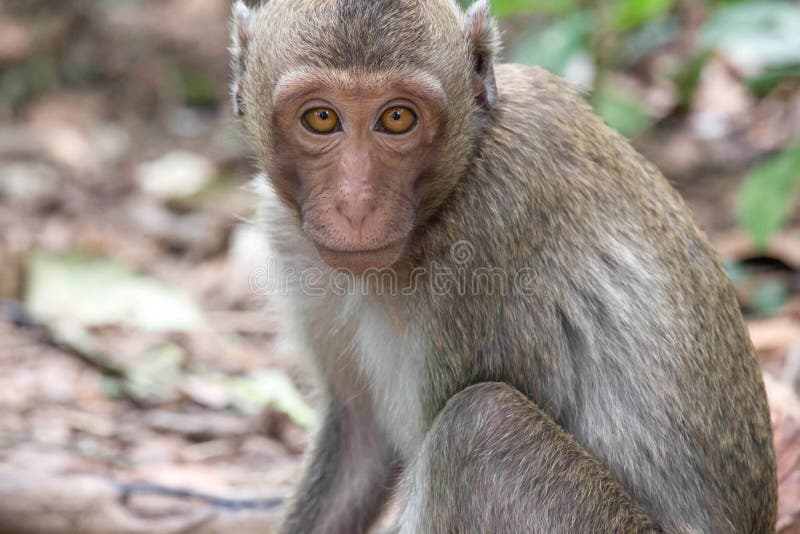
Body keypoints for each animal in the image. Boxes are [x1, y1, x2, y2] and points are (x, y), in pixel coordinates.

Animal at [230, 1, 776, 534]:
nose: (356, 205)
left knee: (480, 423)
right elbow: (359, 438)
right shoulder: (290, 237)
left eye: (398, 118)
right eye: (322, 118)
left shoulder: (484, 234)